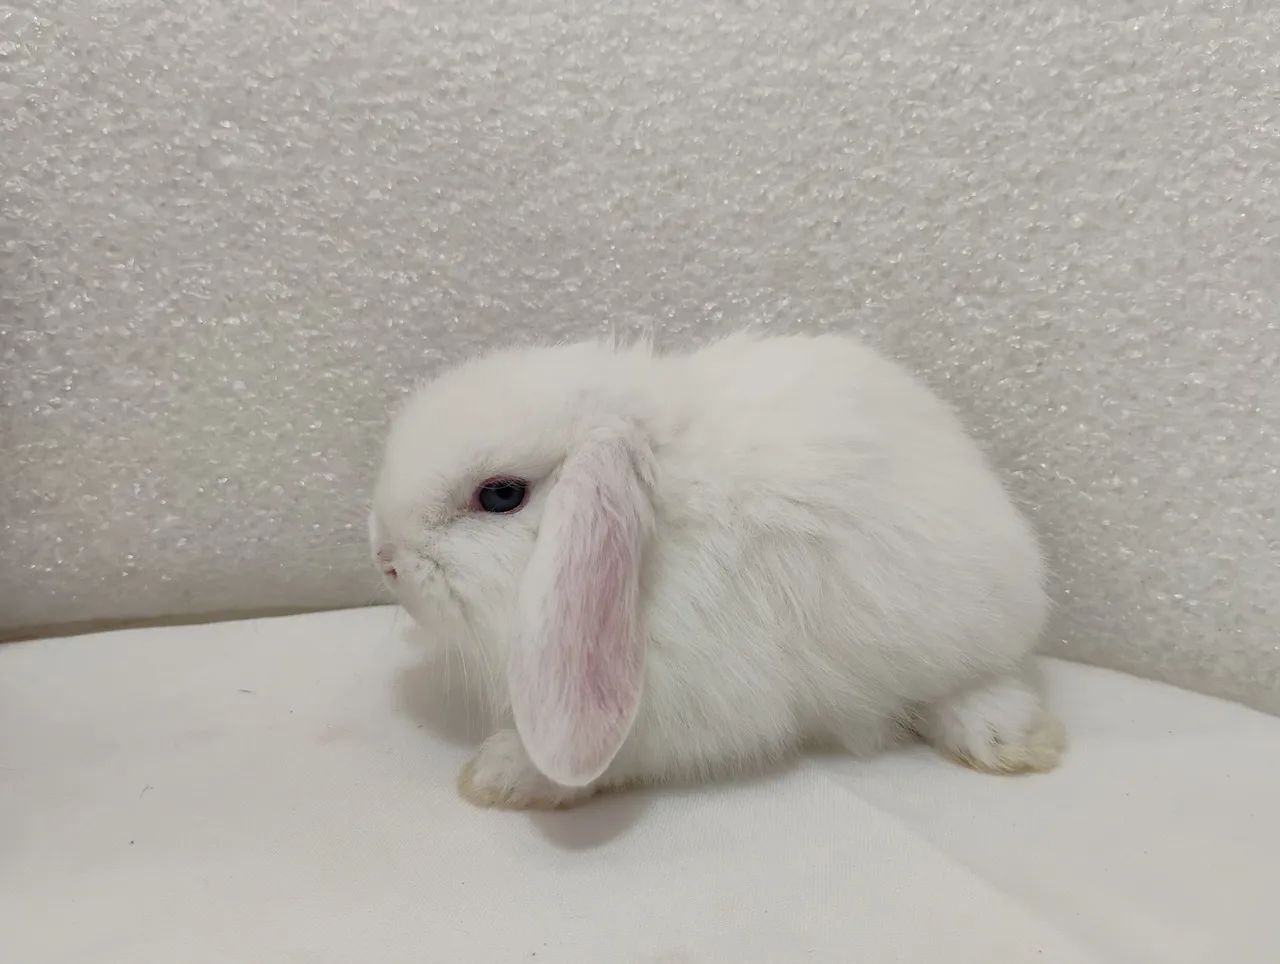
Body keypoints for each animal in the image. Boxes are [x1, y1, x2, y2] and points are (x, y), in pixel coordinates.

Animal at [370, 332, 1065, 809]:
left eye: (500, 495)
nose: (385, 559)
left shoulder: (687, 706)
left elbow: (614, 755)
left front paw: (499, 774)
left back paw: (1009, 738)